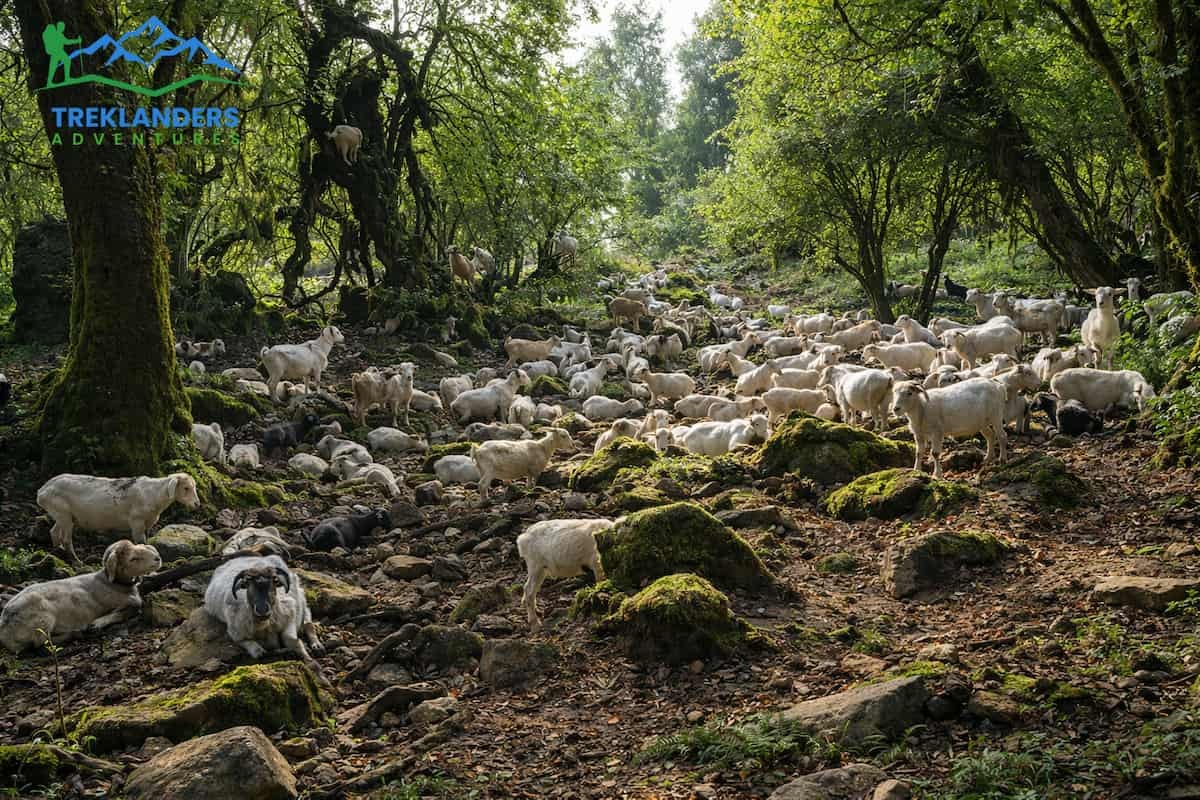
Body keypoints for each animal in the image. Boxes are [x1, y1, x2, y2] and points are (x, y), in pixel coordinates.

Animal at [0, 540, 162, 653]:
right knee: (40, 645)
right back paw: (75, 634)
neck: (113, 583)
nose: (158, 558)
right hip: (42, 619)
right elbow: (125, 612)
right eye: (133, 559)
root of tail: (5, 629)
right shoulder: (127, 603)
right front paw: (97, 623)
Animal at [36, 473, 200, 563]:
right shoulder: (136, 522)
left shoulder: (147, 523)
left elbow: (146, 542)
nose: (197, 504)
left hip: (61, 515)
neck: (154, 494)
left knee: (54, 532)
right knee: (66, 539)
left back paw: (57, 553)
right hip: (63, 513)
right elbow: (140, 543)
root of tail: (42, 491)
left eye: (194, 487)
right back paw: (76, 562)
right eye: (186, 488)